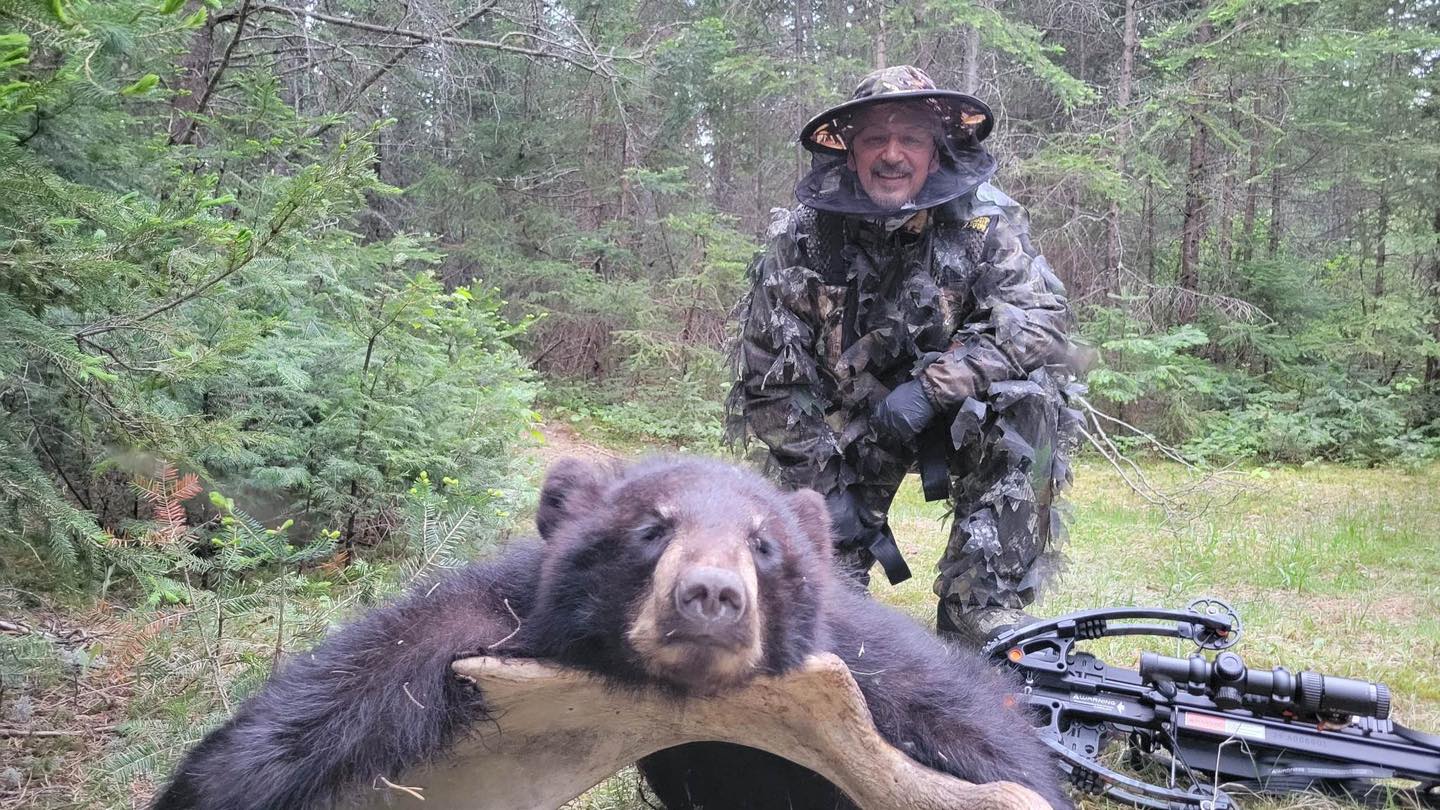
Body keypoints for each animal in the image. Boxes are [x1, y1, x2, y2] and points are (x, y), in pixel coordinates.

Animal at [152, 456, 1068, 810]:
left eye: (763, 545)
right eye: (651, 530)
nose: (711, 596)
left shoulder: (865, 666)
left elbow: (981, 733)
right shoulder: (492, 620)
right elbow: (330, 703)